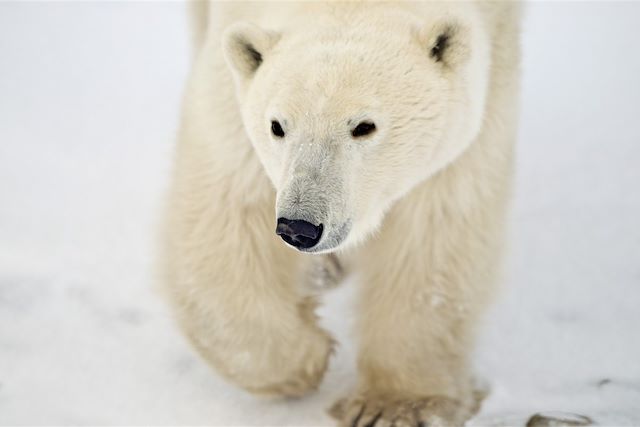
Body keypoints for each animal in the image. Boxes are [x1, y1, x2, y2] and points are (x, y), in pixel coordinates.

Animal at [164, 1, 520, 426]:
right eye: (277, 126)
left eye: (364, 126)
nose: (299, 227)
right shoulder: (231, 99)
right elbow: (227, 209)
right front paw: (304, 360)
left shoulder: (486, 81)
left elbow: (432, 234)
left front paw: (394, 406)